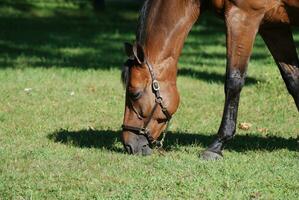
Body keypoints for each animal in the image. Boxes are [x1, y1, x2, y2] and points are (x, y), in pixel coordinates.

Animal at [120, 0, 298, 159]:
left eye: (135, 94)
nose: (129, 145)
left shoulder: (243, 18)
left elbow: (233, 81)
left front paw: (217, 145)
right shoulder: (274, 26)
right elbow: (293, 80)